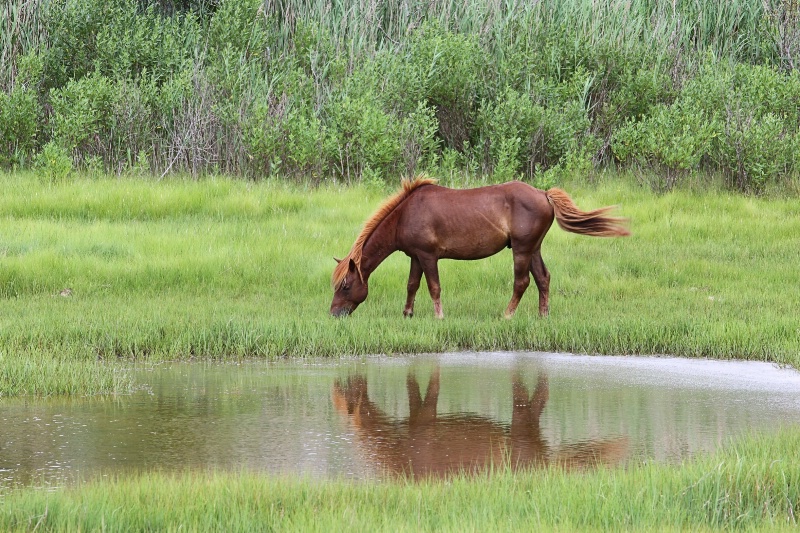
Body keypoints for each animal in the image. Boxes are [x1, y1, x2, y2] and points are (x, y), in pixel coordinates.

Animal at [328, 177, 628, 318]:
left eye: (345, 285)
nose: (334, 314)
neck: (405, 213)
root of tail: (544, 194)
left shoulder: (428, 256)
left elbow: (433, 287)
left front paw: (439, 316)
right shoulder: (415, 256)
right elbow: (412, 285)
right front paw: (407, 314)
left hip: (521, 250)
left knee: (521, 282)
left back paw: (506, 315)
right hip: (534, 248)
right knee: (543, 278)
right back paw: (543, 316)